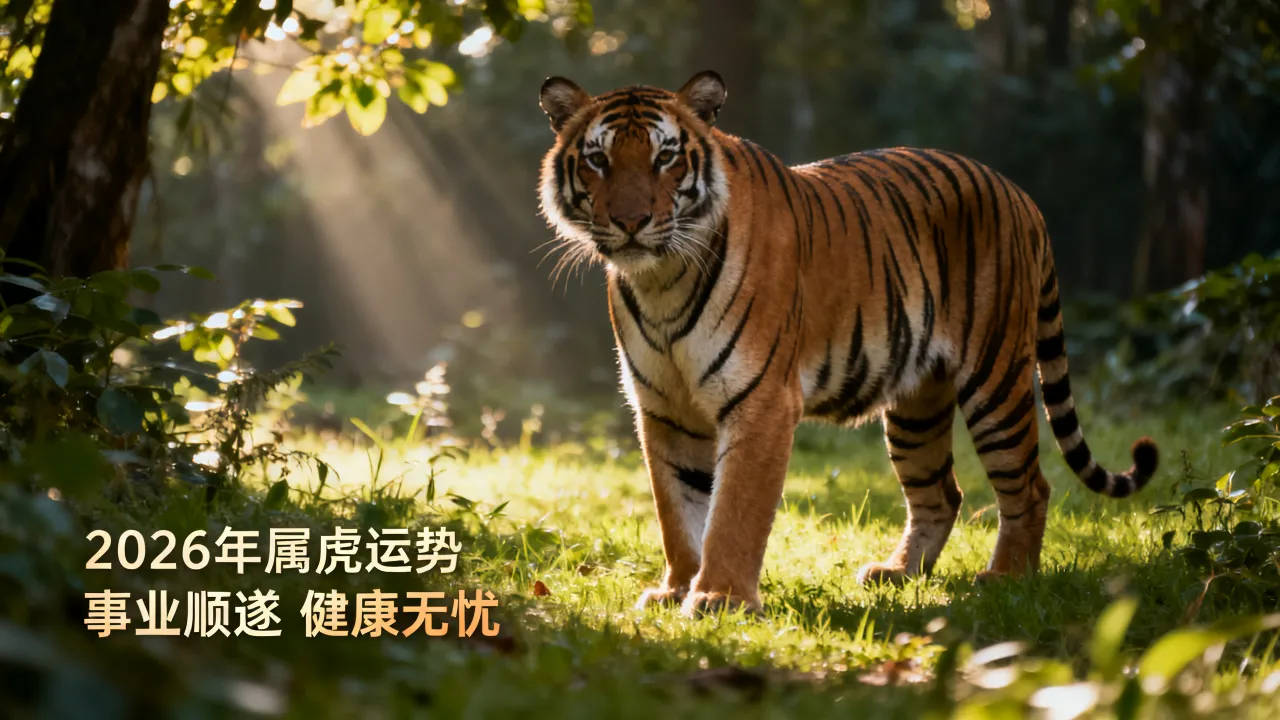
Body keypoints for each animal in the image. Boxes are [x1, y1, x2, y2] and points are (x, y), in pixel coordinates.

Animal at [536, 71, 1158, 617]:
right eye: (598, 159)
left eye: (665, 157)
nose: (631, 221)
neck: (661, 279)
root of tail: (1019, 194)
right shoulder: (664, 408)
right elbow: (677, 510)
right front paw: (675, 590)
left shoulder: (760, 401)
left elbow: (733, 510)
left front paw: (720, 598)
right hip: (917, 405)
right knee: (942, 492)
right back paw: (898, 572)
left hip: (996, 380)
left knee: (1031, 486)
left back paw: (1006, 579)